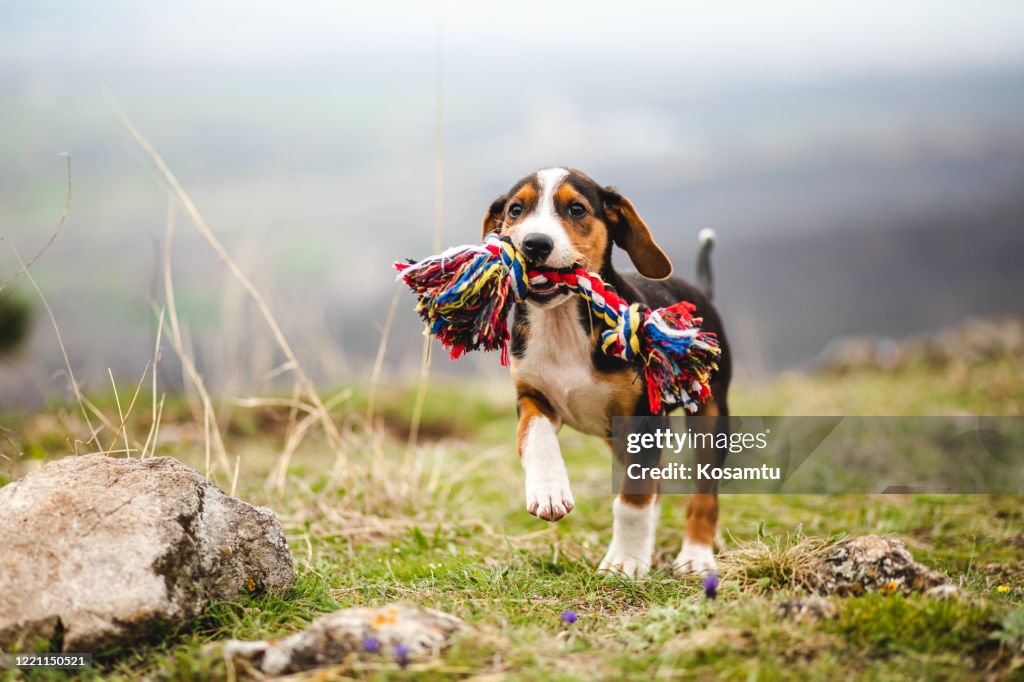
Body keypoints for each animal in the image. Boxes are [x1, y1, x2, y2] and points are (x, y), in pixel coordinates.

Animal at [483, 165, 733, 573]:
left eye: (577, 209)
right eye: (516, 209)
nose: (535, 244)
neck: (563, 323)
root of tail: (701, 294)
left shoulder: (644, 419)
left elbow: (633, 497)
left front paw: (625, 563)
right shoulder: (533, 397)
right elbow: (534, 435)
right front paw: (549, 489)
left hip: (710, 415)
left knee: (704, 494)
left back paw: (695, 556)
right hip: (613, 434)